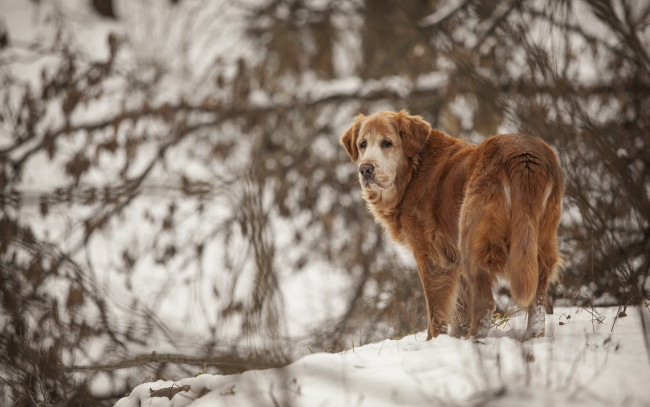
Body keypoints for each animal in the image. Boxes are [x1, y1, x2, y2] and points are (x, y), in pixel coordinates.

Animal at [340, 111, 560, 342]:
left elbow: (435, 310)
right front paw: (454, 338)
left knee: (486, 304)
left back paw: (474, 341)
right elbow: (461, 311)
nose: (365, 169)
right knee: (537, 301)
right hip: (539, 240)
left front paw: (433, 342)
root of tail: (523, 155)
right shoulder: (454, 259)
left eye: (386, 143)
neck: (413, 170)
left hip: (472, 238)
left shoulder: (431, 256)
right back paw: (532, 337)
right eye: (362, 144)